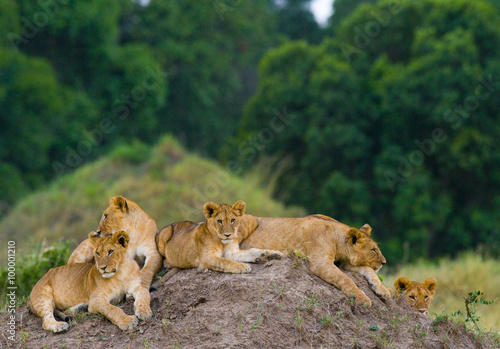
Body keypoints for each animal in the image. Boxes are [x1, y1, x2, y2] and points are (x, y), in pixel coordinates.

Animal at [154, 200, 284, 274]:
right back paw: (168, 263)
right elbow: (224, 261)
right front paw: (242, 266)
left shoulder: (232, 252)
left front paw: (271, 254)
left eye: (232, 220)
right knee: (164, 258)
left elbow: (252, 251)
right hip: (166, 233)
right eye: (220, 221)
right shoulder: (206, 258)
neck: (221, 242)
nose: (227, 235)